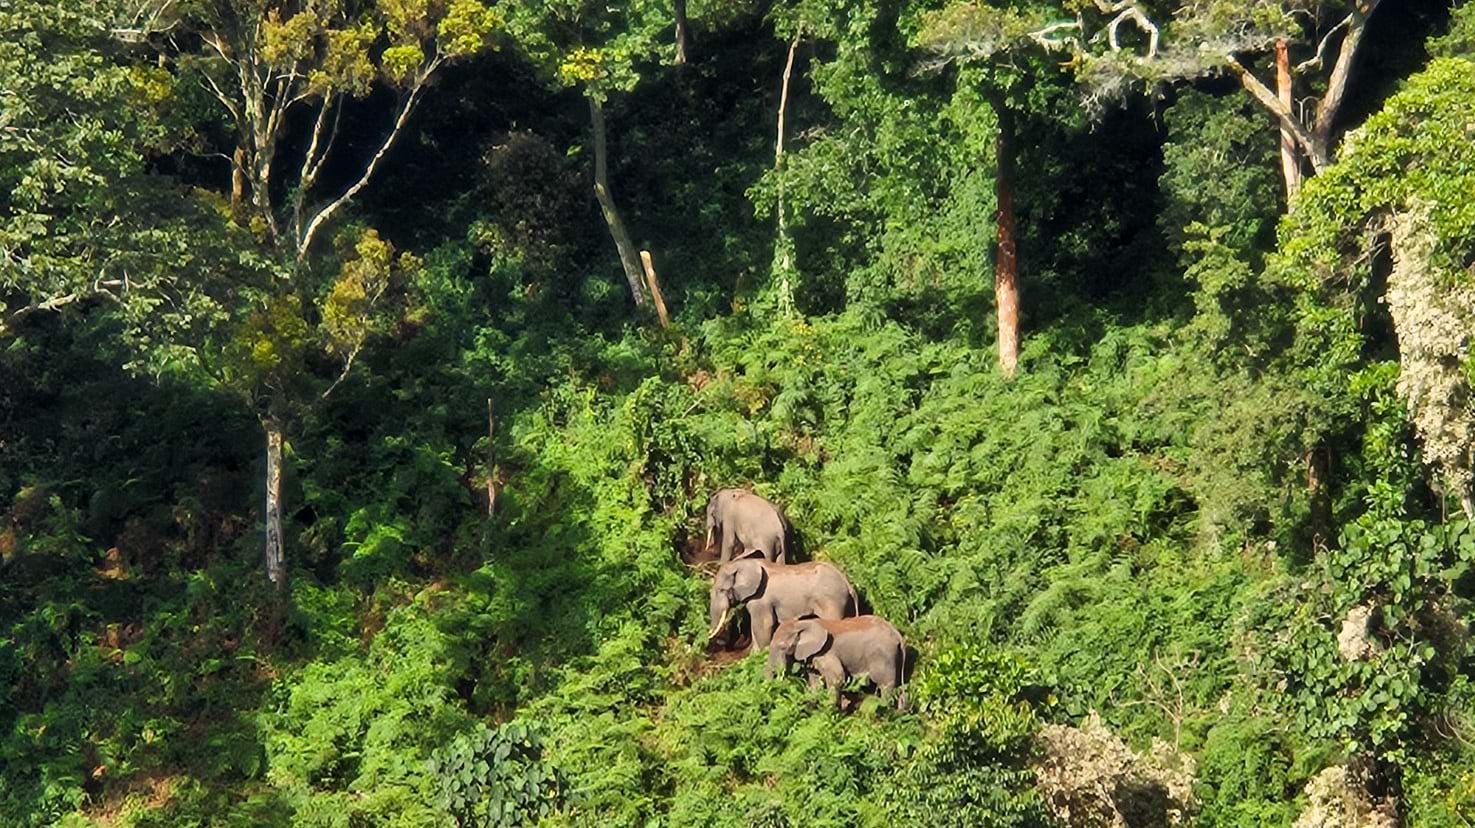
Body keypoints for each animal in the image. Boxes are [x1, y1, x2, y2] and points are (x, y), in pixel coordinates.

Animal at [706, 558, 857, 650]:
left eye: (721, 590)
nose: (721, 643)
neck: (742, 563)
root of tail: (847, 583)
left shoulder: (761, 599)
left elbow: (763, 625)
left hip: (831, 601)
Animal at [767, 615, 908, 709]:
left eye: (782, 647)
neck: (801, 623)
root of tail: (898, 635)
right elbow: (815, 681)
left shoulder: (825, 652)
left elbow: (837, 676)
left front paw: (829, 708)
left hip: (883, 656)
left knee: (885, 684)